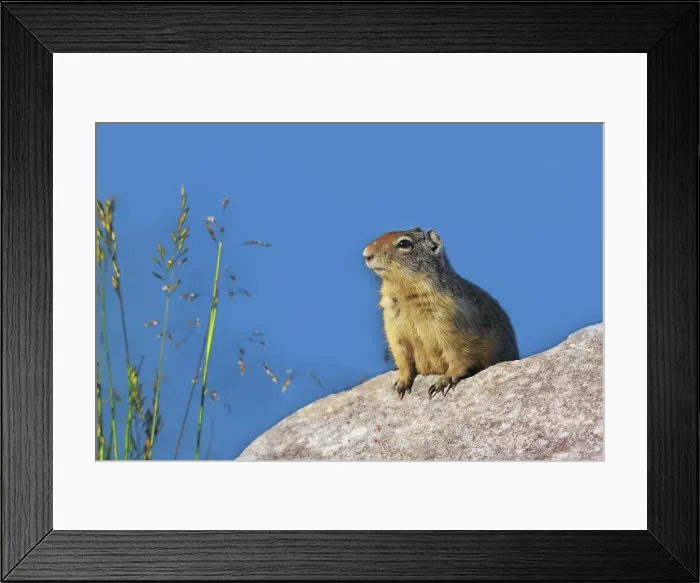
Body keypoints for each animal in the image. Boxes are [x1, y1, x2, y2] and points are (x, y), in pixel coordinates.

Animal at [363, 227, 519, 399]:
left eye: (404, 243)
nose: (366, 254)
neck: (408, 295)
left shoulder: (452, 325)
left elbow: (458, 355)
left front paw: (444, 380)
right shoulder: (393, 328)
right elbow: (402, 357)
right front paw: (401, 382)